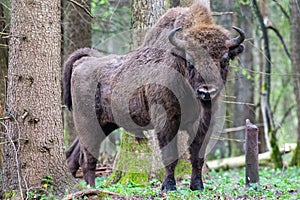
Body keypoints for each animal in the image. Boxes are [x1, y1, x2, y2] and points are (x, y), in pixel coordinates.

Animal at [62, 4, 244, 191]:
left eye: (224, 60)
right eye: (190, 61)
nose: (206, 91)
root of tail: (84, 62)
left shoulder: (204, 124)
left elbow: (197, 156)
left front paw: (197, 185)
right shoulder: (166, 121)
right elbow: (170, 156)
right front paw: (169, 186)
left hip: (104, 124)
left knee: (77, 154)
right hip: (88, 124)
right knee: (88, 158)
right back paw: (92, 188)